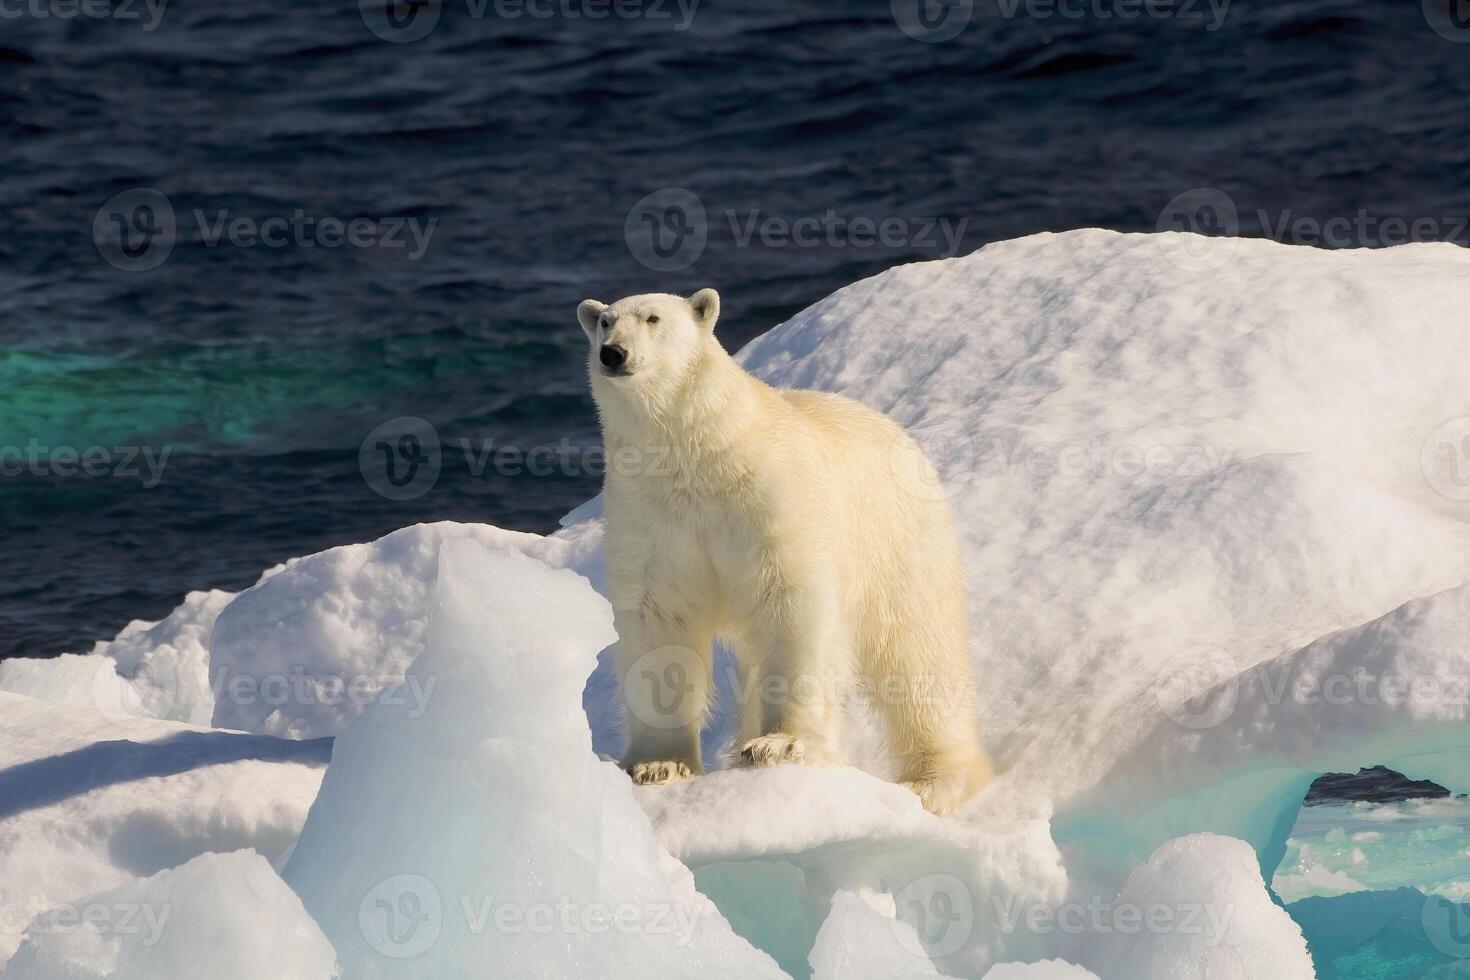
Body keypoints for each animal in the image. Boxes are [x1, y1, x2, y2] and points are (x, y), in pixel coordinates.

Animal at [573, 289, 987, 811]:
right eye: (604, 322)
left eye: (653, 318)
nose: (614, 353)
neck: (697, 456)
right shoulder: (648, 513)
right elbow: (659, 621)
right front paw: (658, 764)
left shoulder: (771, 499)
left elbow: (790, 601)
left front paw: (780, 744)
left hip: (897, 538)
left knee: (918, 651)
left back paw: (932, 780)